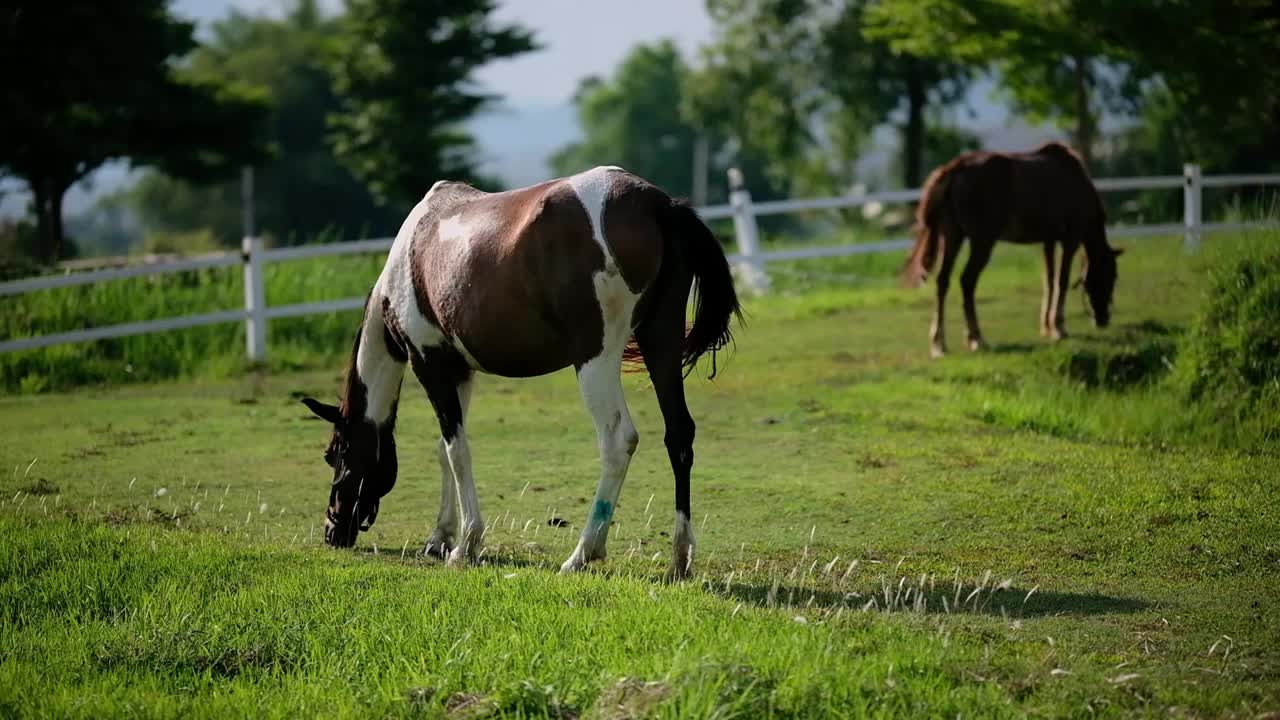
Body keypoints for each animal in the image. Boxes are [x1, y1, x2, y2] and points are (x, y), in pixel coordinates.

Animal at [299, 163, 742, 576]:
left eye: (335, 453)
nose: (332, 530)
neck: (414, 252)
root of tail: (657, 203)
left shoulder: (429, 363)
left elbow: (457, 451)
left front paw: (466, 545)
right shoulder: (460, 372)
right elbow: (445, 450)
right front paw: (440, 537)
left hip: (596, 359)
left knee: (619, 440)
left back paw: (582, 554)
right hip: (660, 342)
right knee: (679, 434)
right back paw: (680, 559)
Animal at [901, 140, 1121, 356]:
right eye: (1111, 276)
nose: (1103, 319)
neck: (1077, 181)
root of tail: (954, 168)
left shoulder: (1048, 241)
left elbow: (1049, 280)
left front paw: (1046, 327)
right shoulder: (1071, 239)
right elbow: (1062, 280)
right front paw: (1059, 328)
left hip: (953, 237)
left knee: (943, 282)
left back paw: (939, 343)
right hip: (982, 241)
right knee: (967, 281)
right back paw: (976, 338)